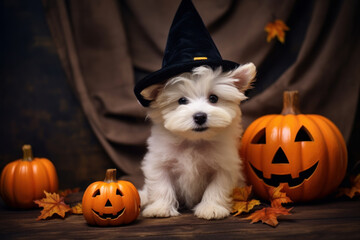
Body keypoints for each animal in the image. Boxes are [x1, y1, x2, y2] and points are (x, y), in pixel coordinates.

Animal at [139, 63, 256, 219]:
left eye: (213, 98)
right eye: (182, 101)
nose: (200, 116)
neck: (194, 141)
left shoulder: (225, 166)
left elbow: (217, 187)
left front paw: (211, 208)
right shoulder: (158, 163)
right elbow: (161, 185)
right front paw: (160, 208)